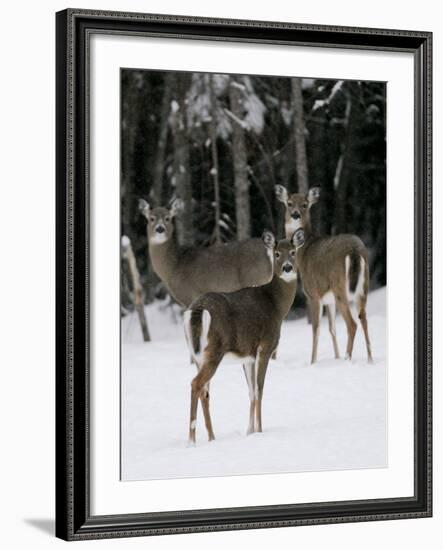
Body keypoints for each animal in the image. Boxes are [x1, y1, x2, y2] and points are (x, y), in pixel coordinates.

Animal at [140, 199, 276, 310]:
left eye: (168, 218)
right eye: (151, 218)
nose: (160, 229)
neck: (174, 265)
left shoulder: (190, 294)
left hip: (256, 278)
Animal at [183, 230, 306, 448]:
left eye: (293, 252)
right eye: (276, 253)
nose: (287, 268)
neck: (276, 305)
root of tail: (197, 309)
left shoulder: (247, 356)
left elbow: (251, 391)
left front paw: (249, 431)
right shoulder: (266, 345)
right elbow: (260, 388)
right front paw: (260, 430)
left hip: (197, 353)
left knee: (205, 391)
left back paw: (212, 437)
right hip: (215, 349)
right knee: (196, 384)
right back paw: (191, 441)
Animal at [276, 185, 372, 366]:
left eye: (305, 204)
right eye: (289, 203)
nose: (295, 214)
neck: (303, 252)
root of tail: (354, 250)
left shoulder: (313, 294)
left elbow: (316, 329)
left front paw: (313, 362)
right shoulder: (329, 299)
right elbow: (331, 329)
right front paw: (336, 356)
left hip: (340, 287)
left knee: (352, 324)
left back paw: (347, 358)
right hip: (362, 288)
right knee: (363, 318)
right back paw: (369, 359)